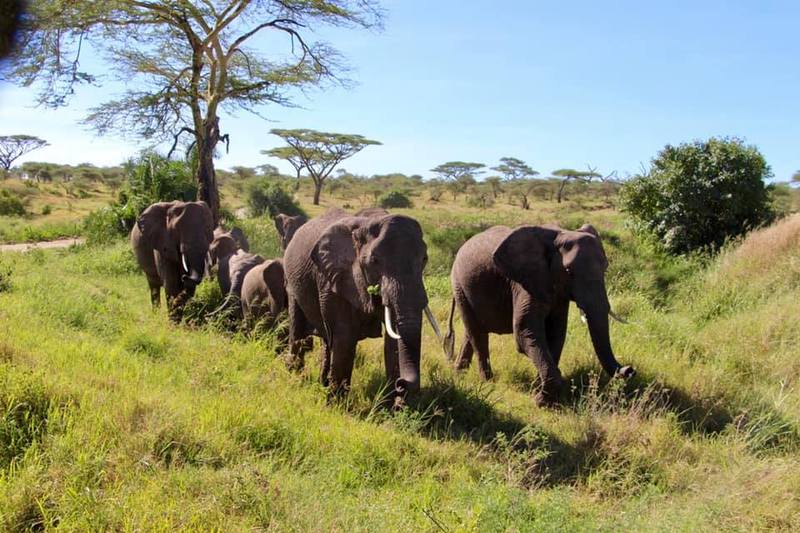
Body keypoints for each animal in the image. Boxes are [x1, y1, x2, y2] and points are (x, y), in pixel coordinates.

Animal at [282, 206, 444, 402]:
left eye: (424, 259)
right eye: (374, 261)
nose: (402, 384)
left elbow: (392, 342)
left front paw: (391, 408)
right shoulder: (334, 278)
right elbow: (344, 337)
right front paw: (338, 406)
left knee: (327, 340)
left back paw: (322, 384)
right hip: (292, 282)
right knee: (298, 329)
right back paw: (296, 378)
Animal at [440, 223, 636, 404]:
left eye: (605, 268)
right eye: (568, 271)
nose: (629, 370)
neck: (559, 235)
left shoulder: (555, 290)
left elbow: (556, 333)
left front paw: (538, 390)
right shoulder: (526, 281)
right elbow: (525, 331)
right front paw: (541, 400)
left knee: (472, 331)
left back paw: (459, 373)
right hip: (459, 285)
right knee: (477, 333)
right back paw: (487, 382)